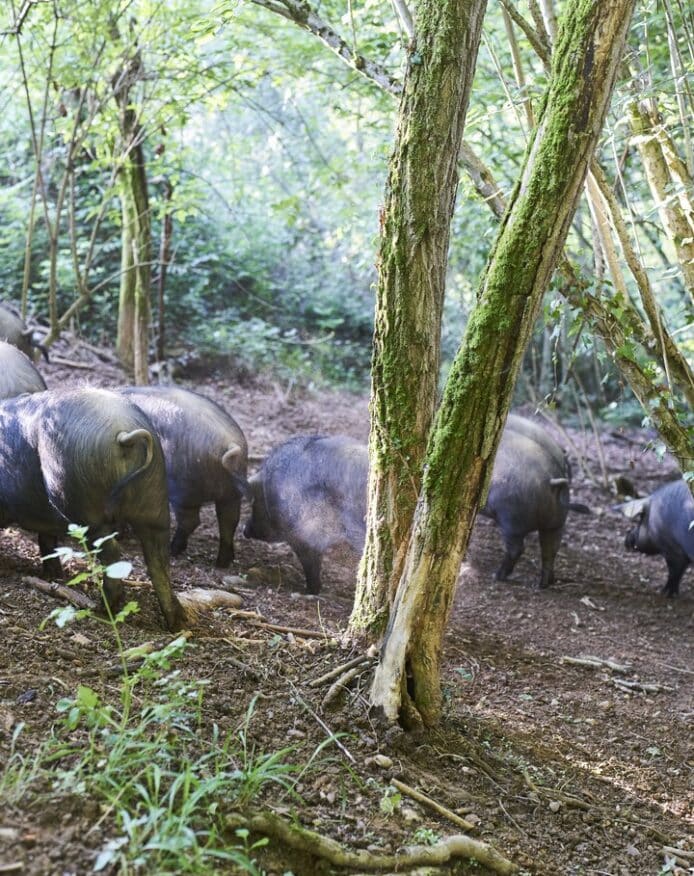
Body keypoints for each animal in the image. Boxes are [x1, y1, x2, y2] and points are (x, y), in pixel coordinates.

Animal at [0, 386, 185, 628]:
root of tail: (124, 433)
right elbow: (47, 541)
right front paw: (53, 575)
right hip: (155, 499)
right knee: (159, 560)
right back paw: (178, 622)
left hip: (82, 507)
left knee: (112, 551)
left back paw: (101, 608)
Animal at [119, 384, 250, 564]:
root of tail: (228, 442)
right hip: (230, 493)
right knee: (229, 521)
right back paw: (222, 562)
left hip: (184, 489)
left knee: (191, 521)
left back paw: (173, 549)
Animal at [482, 416, 588, 588]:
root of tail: (551, 480)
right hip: (555, 524)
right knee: (550, 550)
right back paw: (542, 584)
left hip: (511, 520)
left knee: (517, 549)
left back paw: (497, 576)